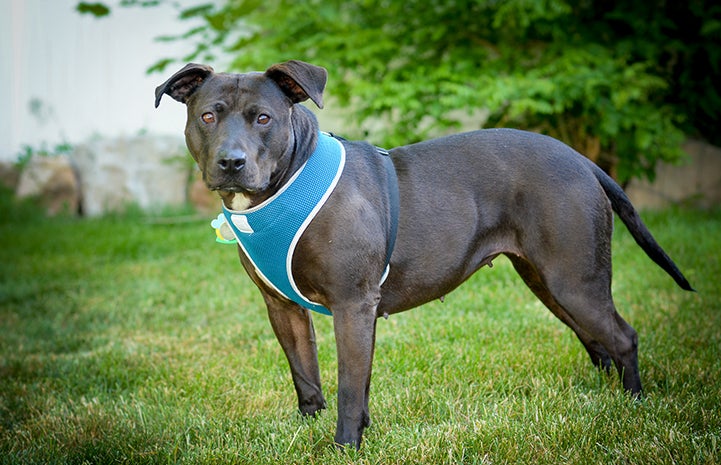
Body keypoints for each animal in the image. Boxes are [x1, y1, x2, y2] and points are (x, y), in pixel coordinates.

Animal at [156, 59, 692, 448]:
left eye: (263, 118)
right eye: (208, 116)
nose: (231, 162)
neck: (288, 179)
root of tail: (582, 160)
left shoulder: (352, 306)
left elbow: (349, 385)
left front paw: (345, 447)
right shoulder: (283, 308)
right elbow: (307, 375)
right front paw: (310, 430)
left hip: (574, 279)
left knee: (622, 337)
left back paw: (634, 409)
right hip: (550, 282)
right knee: (596, 340)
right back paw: (604, 401)